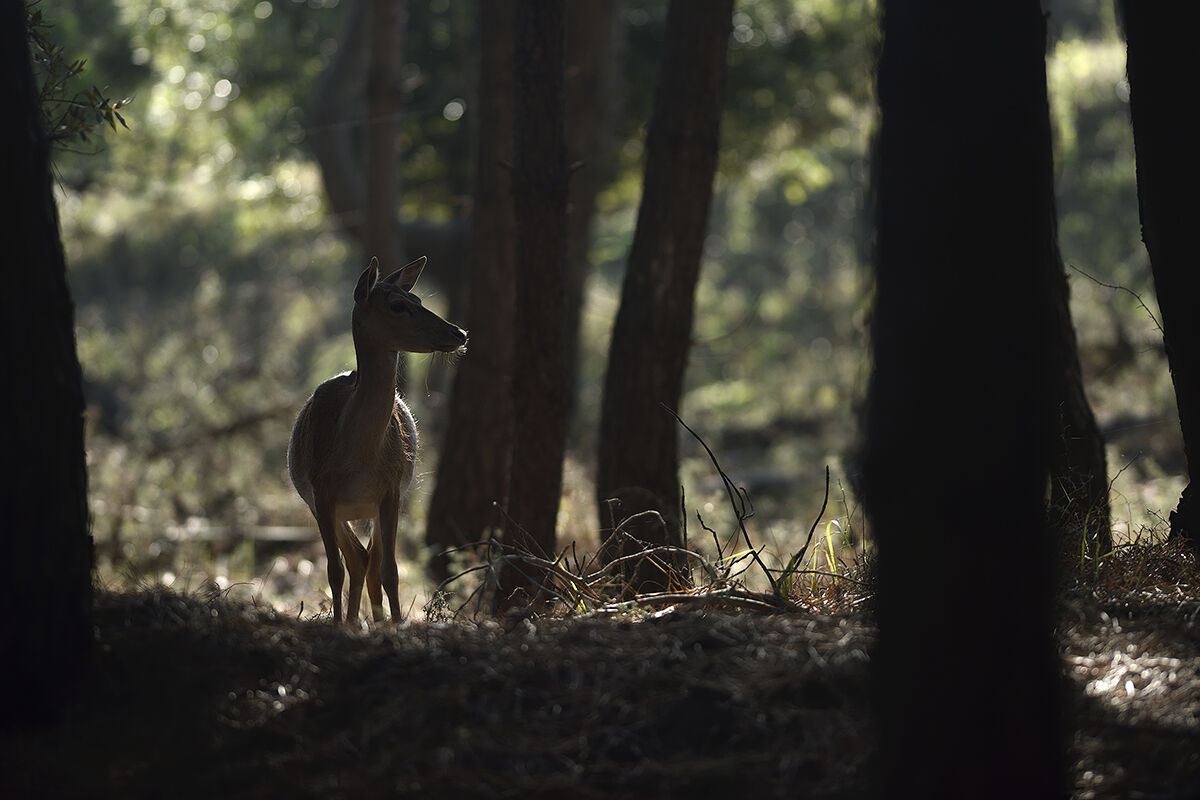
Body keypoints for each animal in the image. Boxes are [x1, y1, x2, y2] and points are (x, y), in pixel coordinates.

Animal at [287, 255, 467, 623]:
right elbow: (333, 570)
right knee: (356, 561)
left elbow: (391, 571)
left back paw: (369, 620)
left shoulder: (391, 489)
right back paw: (353, 621)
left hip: (377, 504)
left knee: (369, 563)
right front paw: (338, 624)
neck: (357, 456)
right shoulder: (321, 492)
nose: (459, 332)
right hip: (325, 506)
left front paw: (396, 624)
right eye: (398, 305)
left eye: (419, 300)